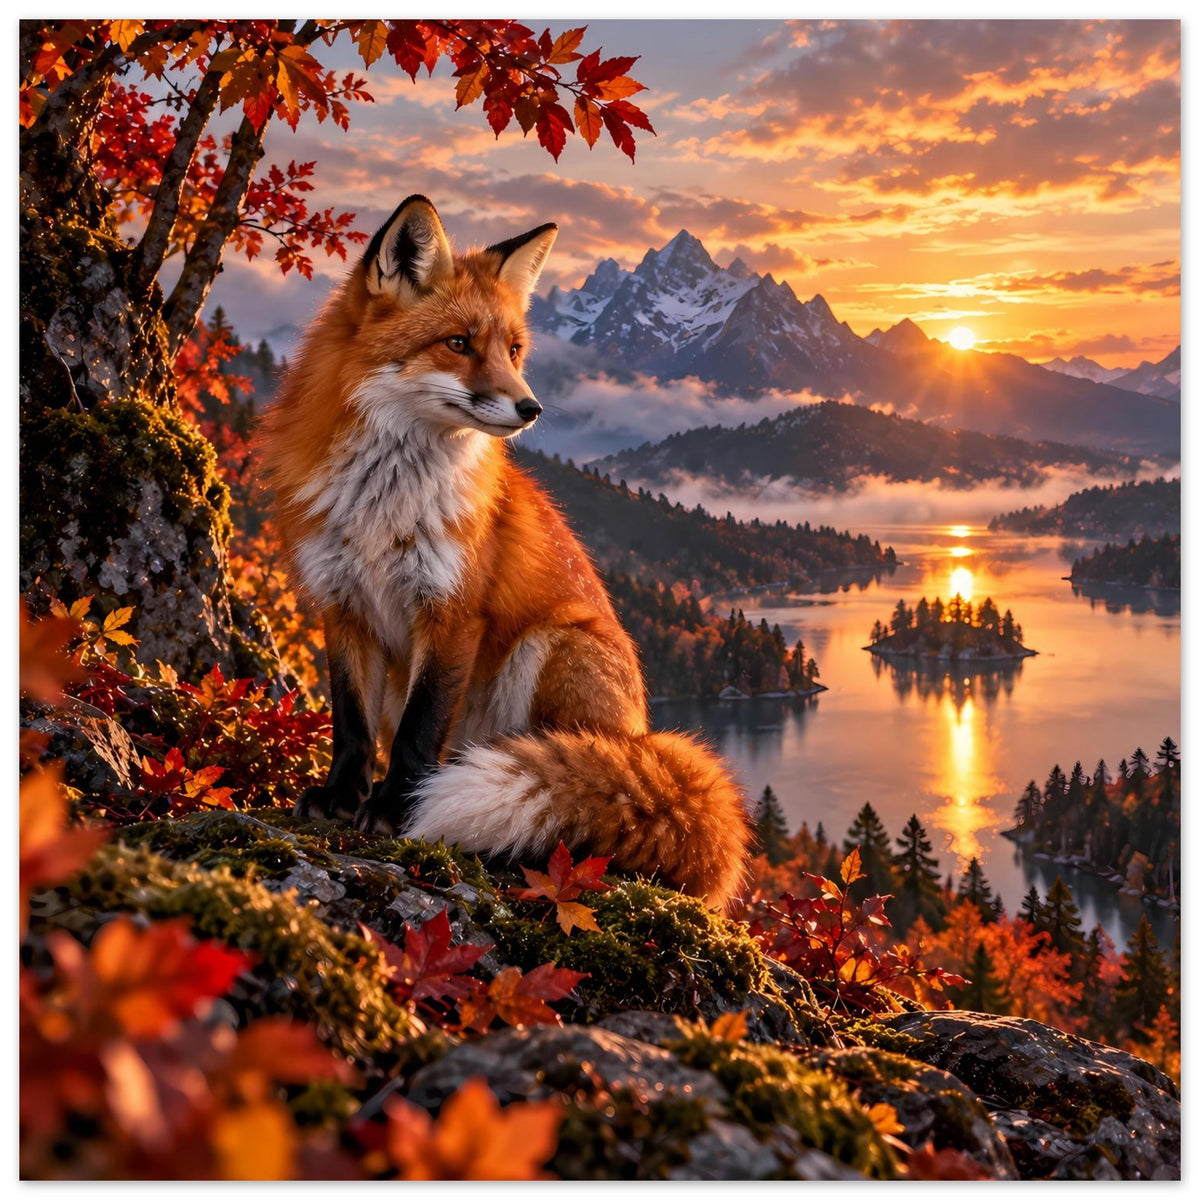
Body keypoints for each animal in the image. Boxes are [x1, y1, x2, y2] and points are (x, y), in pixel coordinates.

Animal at [260, 195, 751, 910]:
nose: (531, 407)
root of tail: (642, 735)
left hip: (550, 645)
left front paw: (396, 811)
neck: (384, 505)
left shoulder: (453, 610)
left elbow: (418, 732)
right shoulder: (342, 603)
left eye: (514, 349)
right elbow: (351, 725)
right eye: (459, 343)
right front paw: (341, 798)